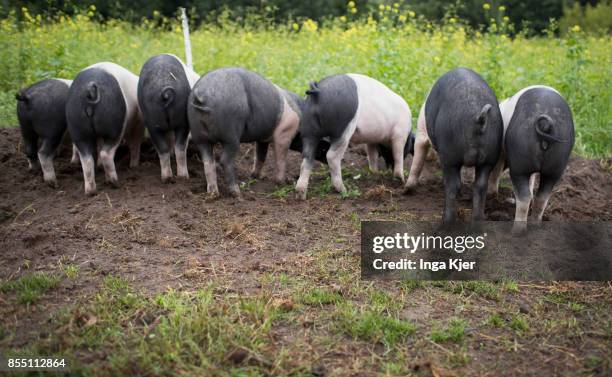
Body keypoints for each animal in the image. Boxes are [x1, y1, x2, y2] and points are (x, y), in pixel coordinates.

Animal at [66, 61, 144, 194]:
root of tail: (90, 89)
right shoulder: (136, 125)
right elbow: (135, 144)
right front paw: (134, 166)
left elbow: (99, 145)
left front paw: (99, 166)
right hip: (115, 125)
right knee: (106, 153)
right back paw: (114, 183)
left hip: (77, 128)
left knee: (87, 160)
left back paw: (90, 192)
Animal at [137, 53, 200, 181]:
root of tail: (165, 92)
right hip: (181, 118)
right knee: (178, 147)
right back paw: (179, 177)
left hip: (153, 121)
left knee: (165, 148)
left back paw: (167, 178)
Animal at [185, 67, 302, 197]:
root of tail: (202, 95)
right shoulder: (284, 134)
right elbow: (280, 159)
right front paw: (282, 182)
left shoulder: (263, 139)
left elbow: (261, 156)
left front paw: (258, 176)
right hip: (231, 135)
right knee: (225, 161)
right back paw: (237, 193)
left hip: (199, 136)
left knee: (208, 162)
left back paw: (213, 194)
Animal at [402, 67, 502, 222]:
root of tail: (479, 118)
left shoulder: (422, 133)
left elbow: (418, 159)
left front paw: (406, 190)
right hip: (490, 155)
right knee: (480, 185)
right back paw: (478, 219)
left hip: (450, 155)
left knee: (453, 185)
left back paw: (446, 219)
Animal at [488, 86, 572, 231]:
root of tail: (546, 125)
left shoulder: (501, 152)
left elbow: (496, 171)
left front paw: (491, 195)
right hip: (557, 165)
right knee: (542, 197)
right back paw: (536, 225)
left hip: (519, 162)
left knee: (524, 198)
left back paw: (517, 231)